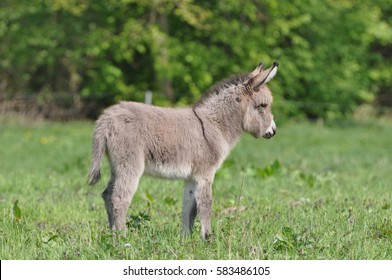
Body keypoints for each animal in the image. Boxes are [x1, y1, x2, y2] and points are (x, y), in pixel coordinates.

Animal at [88, 61, 278, 238]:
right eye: (263, 105)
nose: (273, 131)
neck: (215, 125)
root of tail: (106, 118)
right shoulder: (205, 174)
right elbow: (206, 204)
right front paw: (207, 237)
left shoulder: (191, 177)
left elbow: (189, 208)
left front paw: (187, 238)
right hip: (130, 164)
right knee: (119, 198)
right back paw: (123, 239)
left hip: (116, 165)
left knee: (107, 195)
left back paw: (112, 234)